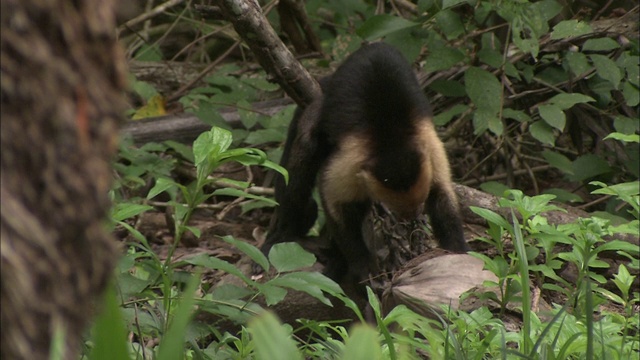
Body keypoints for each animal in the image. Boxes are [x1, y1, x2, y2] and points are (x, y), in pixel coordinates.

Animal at [258, 43, 468, 286]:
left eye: (419, 205)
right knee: (304, 153)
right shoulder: (351, 162)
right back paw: (285, 235)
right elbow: (334, 202)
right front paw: (363, 265)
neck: (393, 143)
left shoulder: (430, 149)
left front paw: (457, 252)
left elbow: (442, 194)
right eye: (401, 210)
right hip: (322, 105)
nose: (413, 217)